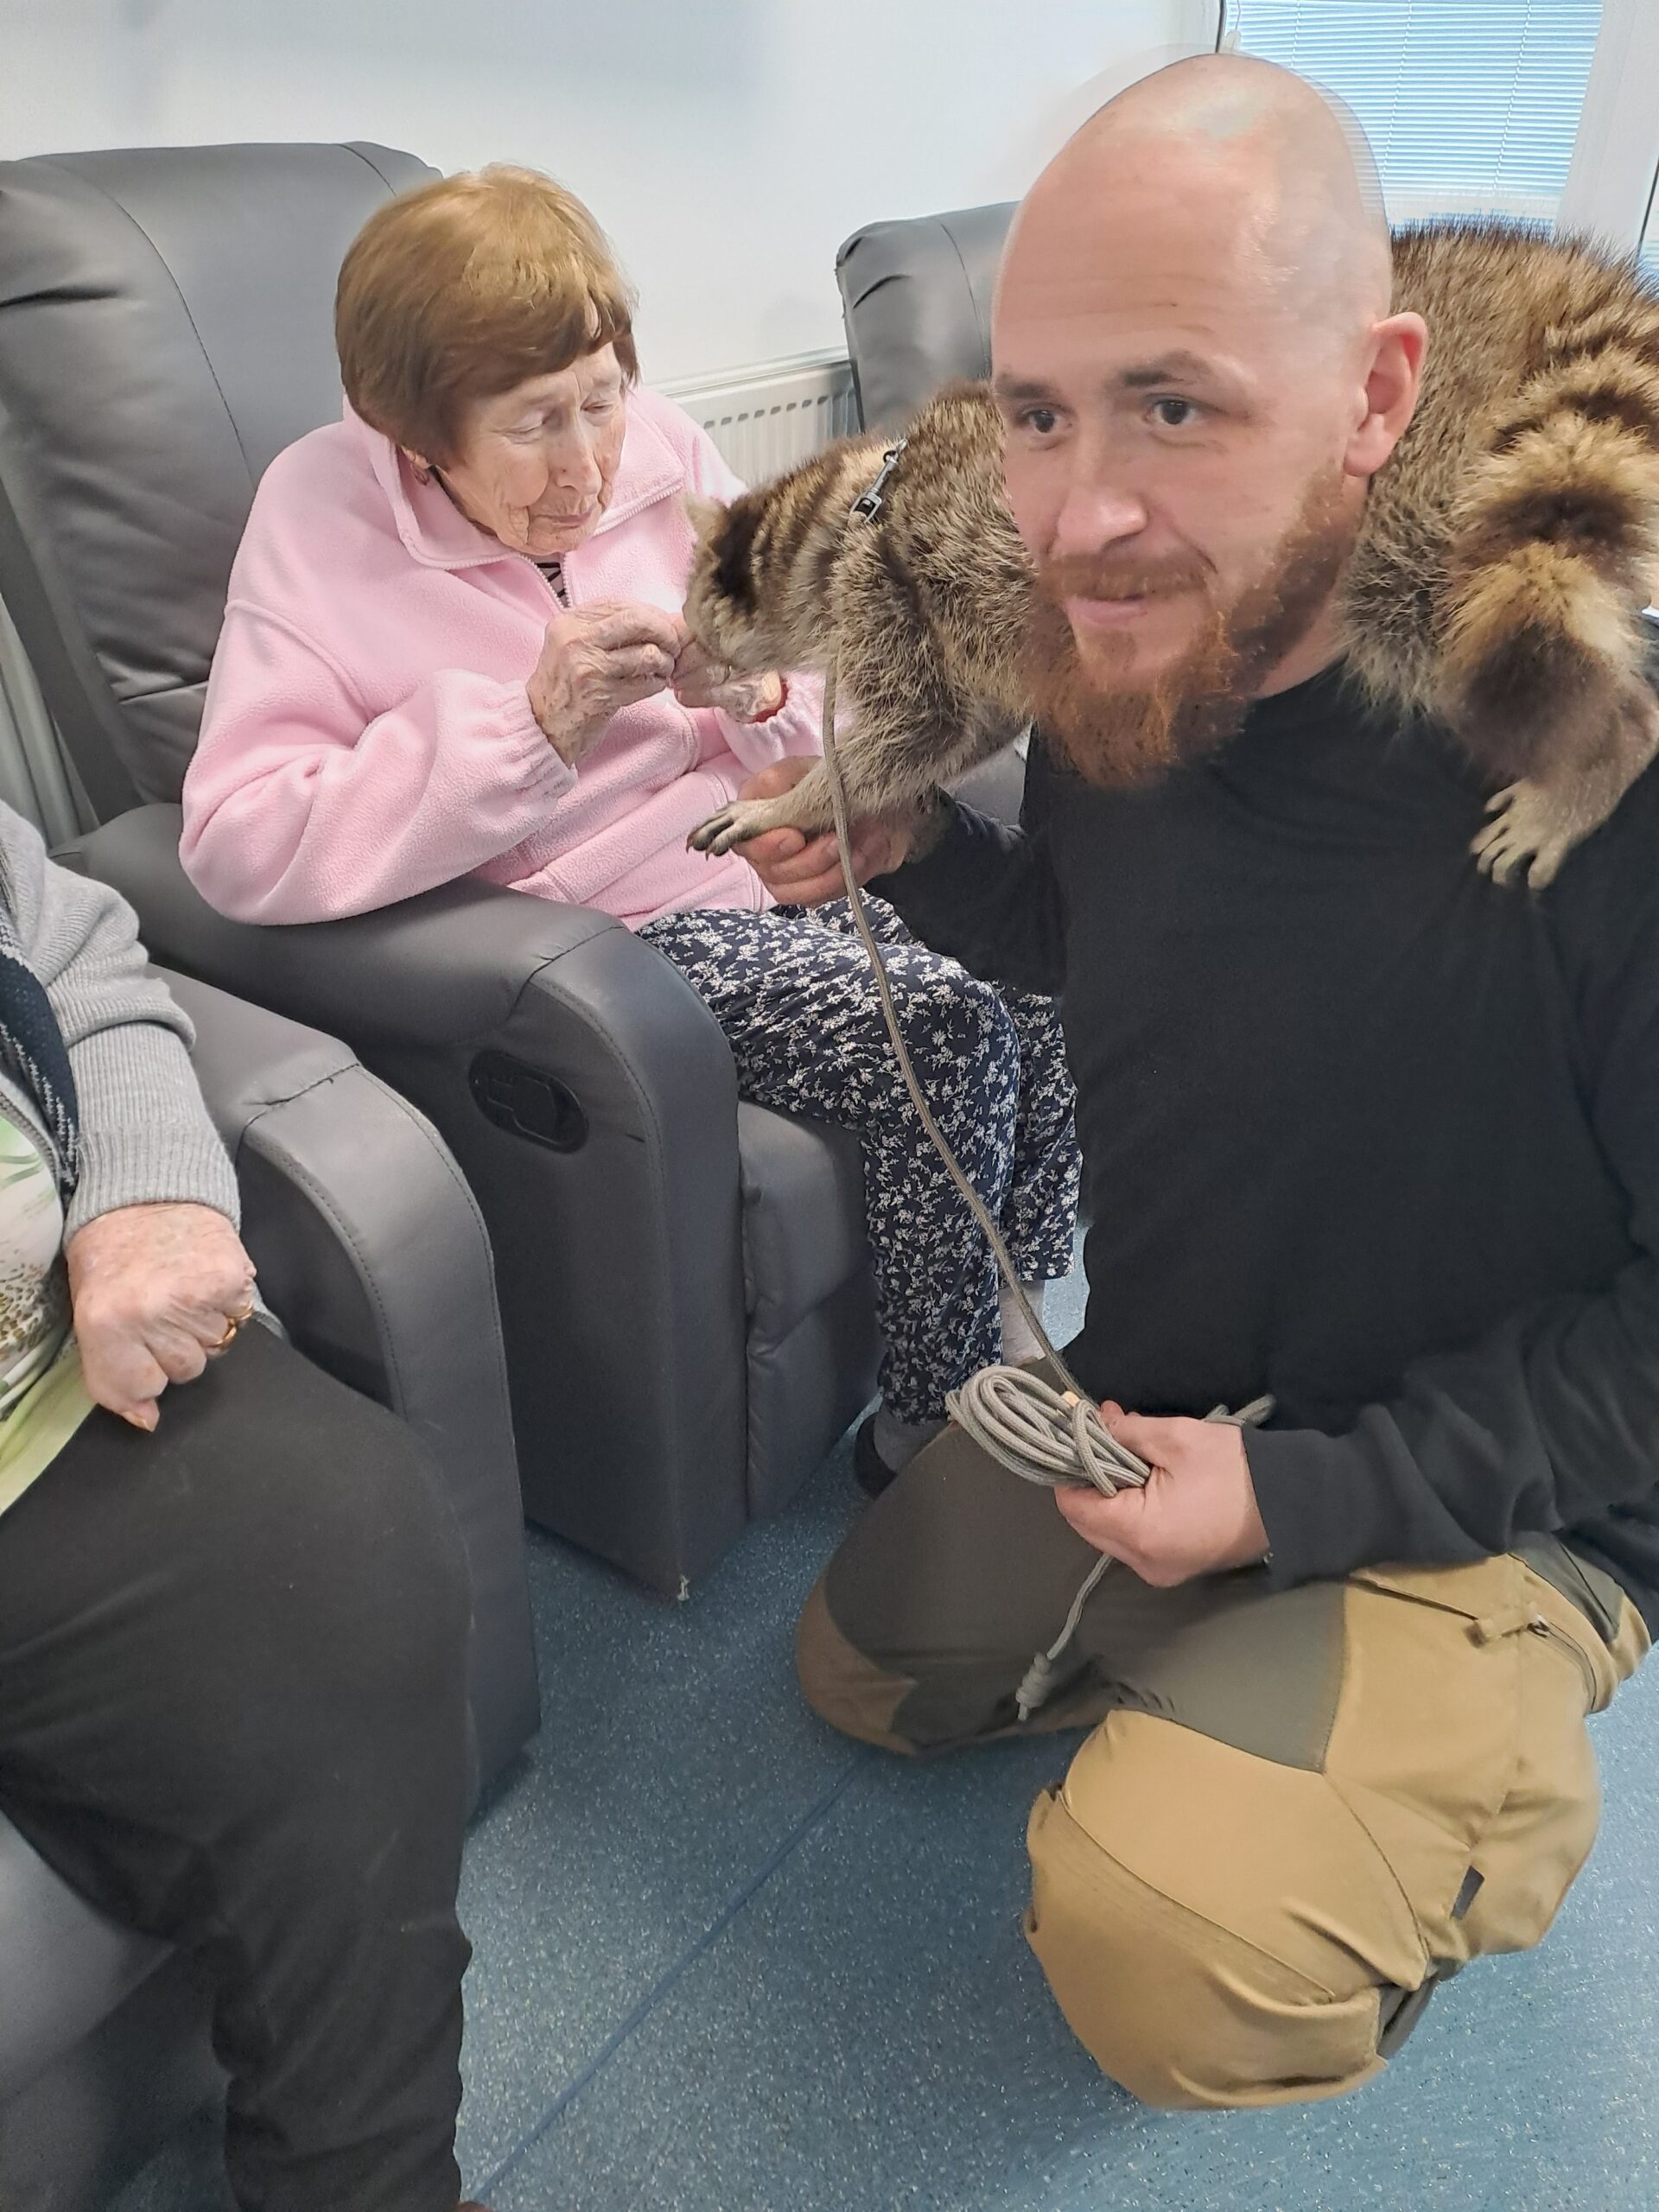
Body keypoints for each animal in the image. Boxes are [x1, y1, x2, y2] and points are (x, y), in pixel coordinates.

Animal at [682, 218, 1659, 889]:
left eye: (692, 621)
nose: (679, 667)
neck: (839, 512)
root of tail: (1507, 270)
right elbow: (967, 729)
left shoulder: (888, 587)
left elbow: (913, 728)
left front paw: (798, 797)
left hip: (1408, 485)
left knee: (1416, 603)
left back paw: (1610, 745)